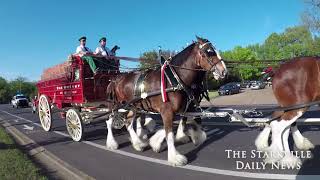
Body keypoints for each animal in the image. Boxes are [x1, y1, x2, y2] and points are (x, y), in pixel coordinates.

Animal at [104, 36, 226, 166]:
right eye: (208, 52)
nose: (224, 71)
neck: (173, 79)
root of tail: (115, 79)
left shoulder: (183, 107)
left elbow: (179, 125)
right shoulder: (167, 110)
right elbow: (170, 134)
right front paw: (174, 157)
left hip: (133, 106)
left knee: (128, 122)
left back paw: (138, 144)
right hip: (115, 105)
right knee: (109, 122)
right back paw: (112, 143)